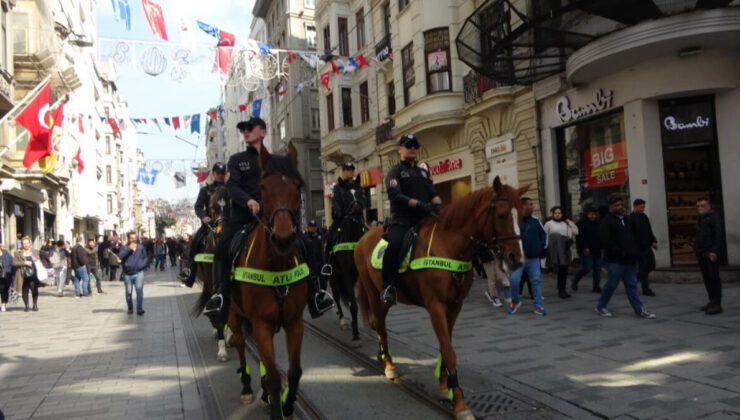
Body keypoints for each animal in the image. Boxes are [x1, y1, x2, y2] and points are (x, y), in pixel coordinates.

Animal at [225, 144, 306, 420]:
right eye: (262, 187)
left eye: (297, 185)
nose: (283, 239)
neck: (276, 264)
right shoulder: (261, 324)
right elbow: (273, 378)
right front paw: (276, 408)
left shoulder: (294, 322)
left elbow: (293, 372)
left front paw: (288, 405)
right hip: (234, 315)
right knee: (240, 344)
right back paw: (248, 388)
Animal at [352, 176, 528, 420]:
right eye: (502, 215)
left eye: (522, 215)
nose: (517, 259)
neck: (450, 246)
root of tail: (363, 238)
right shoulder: (435, 306)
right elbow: (449, 351)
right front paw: (461, 404)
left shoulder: (454, 306)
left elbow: (446, 348)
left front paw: (445, 388)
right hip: (373, 294)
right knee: (381, 327)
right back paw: (389, 366)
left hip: (384, 298)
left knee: (380, 325)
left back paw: (382, 356)